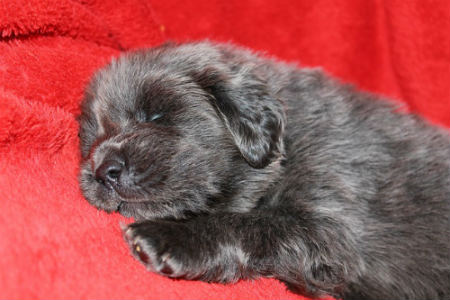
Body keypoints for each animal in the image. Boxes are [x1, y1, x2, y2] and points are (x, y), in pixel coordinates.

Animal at [78, 41, 450, 300]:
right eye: (92, 137)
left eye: (155, 116)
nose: (104, 170)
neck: (288, 142)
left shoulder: (329, 223)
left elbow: (248, 224)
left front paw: (170, 236)